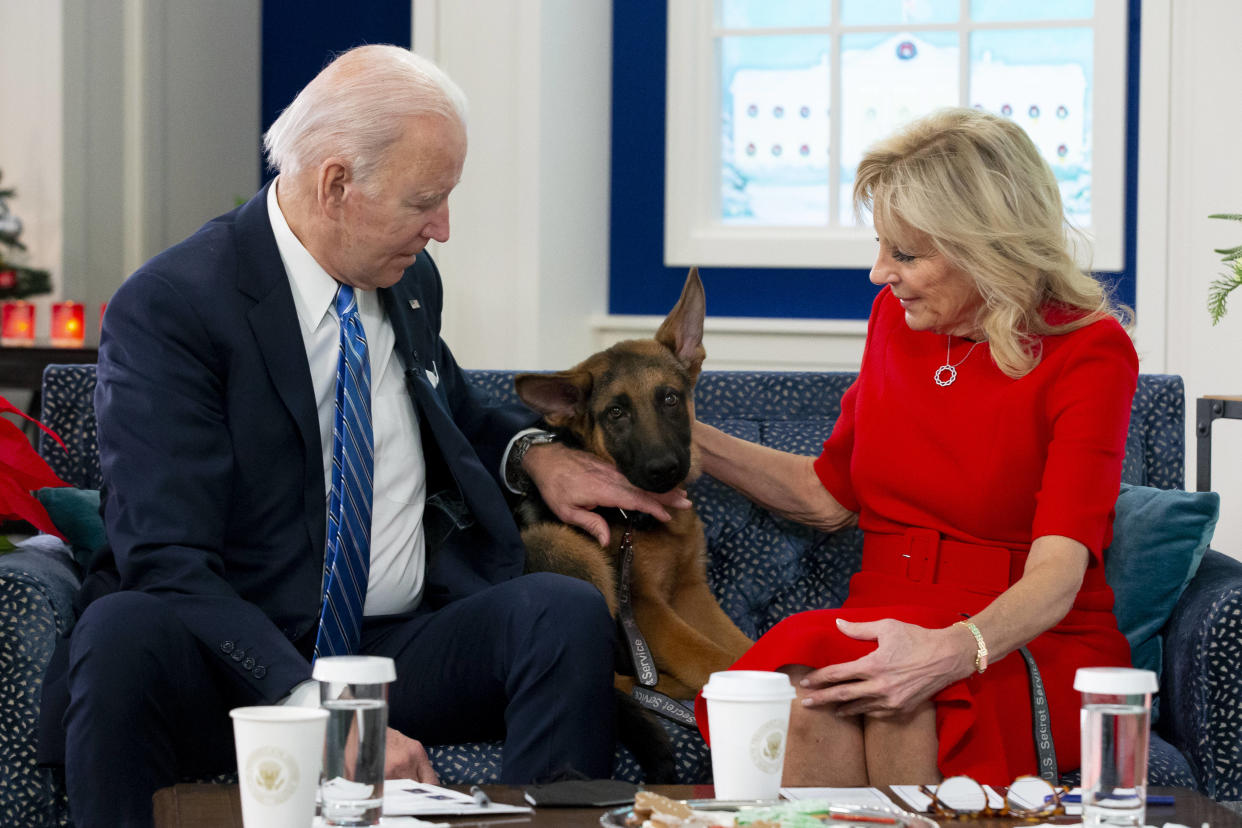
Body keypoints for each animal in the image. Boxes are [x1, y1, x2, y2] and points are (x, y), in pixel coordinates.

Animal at [511, 271, 750, 705]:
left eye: (670, 399)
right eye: (616, 413)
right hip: (564, 546)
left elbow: (741, 644)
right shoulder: (646, 608)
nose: (663, 469)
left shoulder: (690, 590)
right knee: (612, 679)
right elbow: (713, 657)